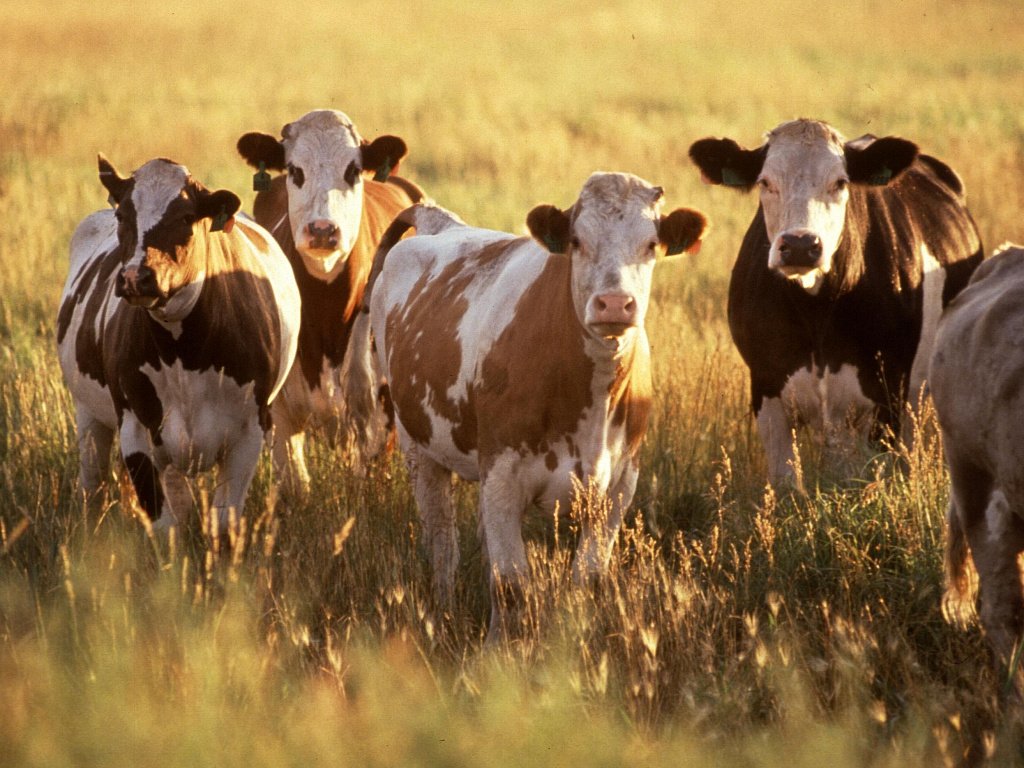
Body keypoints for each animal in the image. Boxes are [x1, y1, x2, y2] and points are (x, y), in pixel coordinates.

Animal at [57, 156, 299, 536]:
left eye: (186, 217)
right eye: (123, 215)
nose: (136, 277)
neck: (183, 352)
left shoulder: (250, 431)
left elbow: (224, 522)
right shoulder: (136, 430)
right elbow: (165, 525)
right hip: (89, 413)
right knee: (92, 483)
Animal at [364, 176, 708, 643]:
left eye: (651, 243)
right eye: (577, 241)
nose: (614, 303)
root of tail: (442, 223)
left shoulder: (619, 486)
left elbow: (587, 580)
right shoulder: (502, 476)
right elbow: (510, 584)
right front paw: (498, 653)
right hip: (419, 447)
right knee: (443, 542)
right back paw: (444, 612)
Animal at [688, 118, 983, 493]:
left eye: (840, 182)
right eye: (765, 182)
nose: (800, 245)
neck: (815, 311)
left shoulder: (888, 392)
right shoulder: (766, 387)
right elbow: (787, 484)